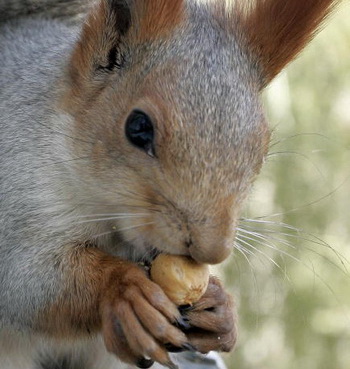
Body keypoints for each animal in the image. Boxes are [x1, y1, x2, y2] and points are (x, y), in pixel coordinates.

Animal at [0, 0, 340, 368]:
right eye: (138, 127)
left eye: (262, 149)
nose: (212, 250)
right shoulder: (16, 194)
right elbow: (24, 281)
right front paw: (125, 290)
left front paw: (220, 308)